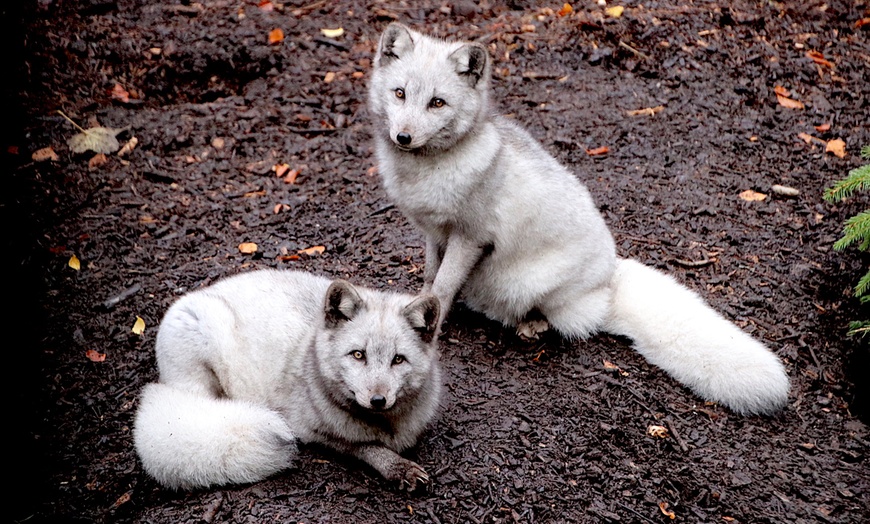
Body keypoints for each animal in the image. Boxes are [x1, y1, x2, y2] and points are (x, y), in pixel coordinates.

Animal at [134, 270, 442, 492]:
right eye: (358, 354)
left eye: (398, 359)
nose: (378, 400)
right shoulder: (309, 429)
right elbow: (363, 446)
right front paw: (397, 467)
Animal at [368, 23, 792, 418]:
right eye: (400, 93)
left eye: (437, 102)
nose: (403, 137)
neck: (427, 171)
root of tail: (610, 280)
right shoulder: (433, 232)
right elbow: (430, 278)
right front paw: (416, 312)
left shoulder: (470, 237)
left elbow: (442, 287)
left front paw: (430, 326)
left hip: (529, 283)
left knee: (562, 322)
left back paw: (530, 326)